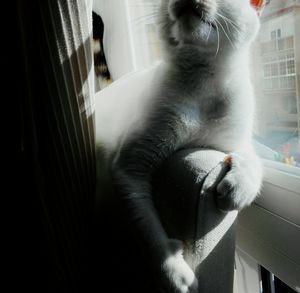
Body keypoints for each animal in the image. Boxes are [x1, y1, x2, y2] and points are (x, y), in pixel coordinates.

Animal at [96, 0, 262, 292]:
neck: (203, 82)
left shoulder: (236, 143)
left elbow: (253, 163)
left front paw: (234, 192)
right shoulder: (131, 167)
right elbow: (149, 231)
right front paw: (177, 277)